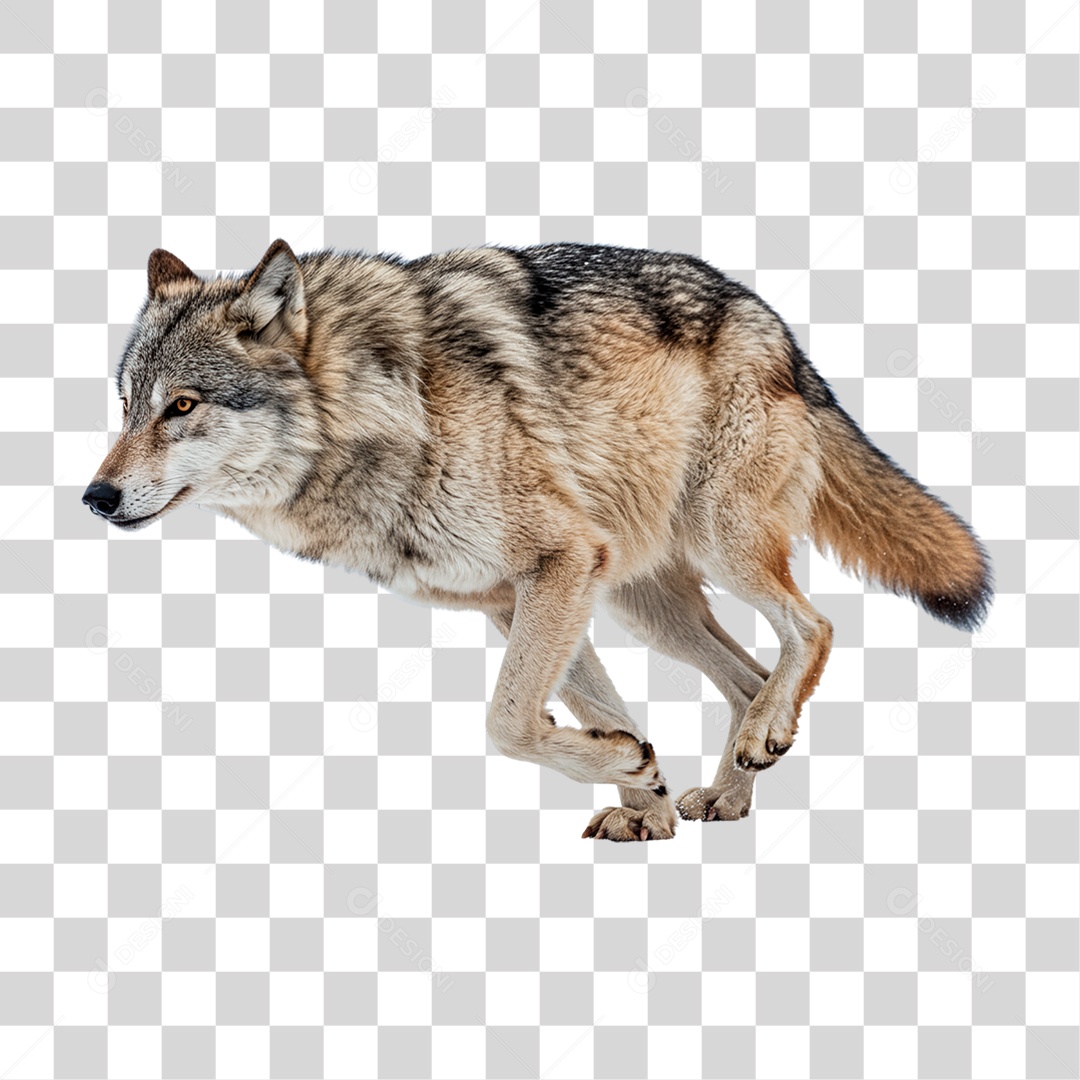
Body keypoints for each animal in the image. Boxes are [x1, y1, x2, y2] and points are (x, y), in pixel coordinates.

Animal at [84, 240, 992, 840]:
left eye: (183, 406)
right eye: (126, 406)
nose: (95, 498)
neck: (386, 414)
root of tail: (778, 329)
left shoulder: (561, 565)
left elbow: (507, 722)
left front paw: (630, 774)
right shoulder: (516, 595)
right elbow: (589, 710)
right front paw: (644, 792)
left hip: (719, 544)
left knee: (814, 628)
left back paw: (761, 741)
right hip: (644, 606)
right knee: (747, 676)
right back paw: (735, 786)